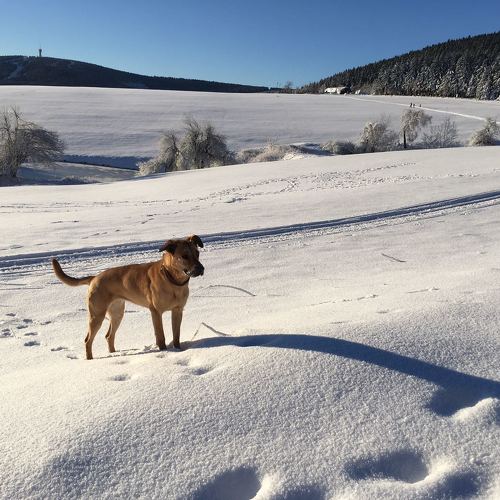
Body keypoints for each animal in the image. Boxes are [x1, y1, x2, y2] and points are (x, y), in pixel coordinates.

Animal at [51, 235, 204, 360]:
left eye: (197, 253)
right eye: (184, 256)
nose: (201, 269)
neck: (172, 280)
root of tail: (94, 278)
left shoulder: (178, 310)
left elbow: (176, 335)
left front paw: (178, 350)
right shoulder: (156, 312)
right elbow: (160, 336)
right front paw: (165, 352)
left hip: (117, 313)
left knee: (109, 336)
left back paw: (113, 353)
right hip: (97, 315)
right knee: (88, 340)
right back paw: (91, 360)